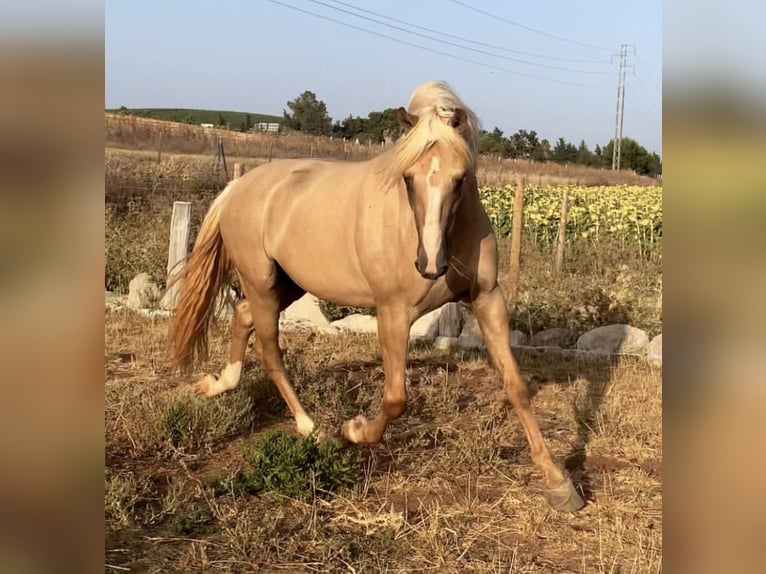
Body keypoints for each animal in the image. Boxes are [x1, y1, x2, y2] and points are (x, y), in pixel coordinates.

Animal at [168, 81, 584, 512]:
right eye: (408, 178)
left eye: (460, 178)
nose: (430, 264)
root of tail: (238, 187)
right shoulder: (393, 312)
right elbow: (396, 397)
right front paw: (354, 430)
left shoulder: (488, 299)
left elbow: (516, 386)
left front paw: (558, 481)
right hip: (263, 282)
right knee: (269, 350)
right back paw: (312, 428)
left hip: (287, 284)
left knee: (243, 313)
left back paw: (217, 383)